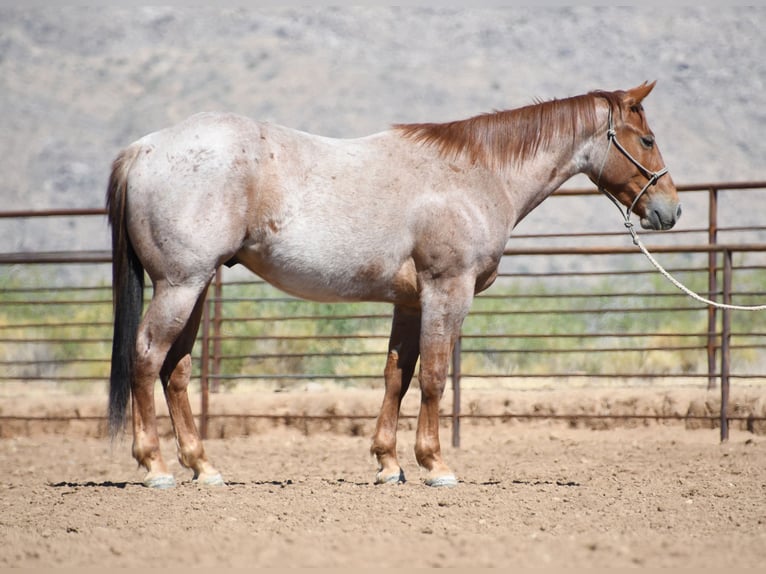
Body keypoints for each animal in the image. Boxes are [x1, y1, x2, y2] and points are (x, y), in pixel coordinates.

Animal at [106, 81, 681, 488]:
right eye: (647, 139)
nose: (670, 210)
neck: (476, 174)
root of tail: (144, 150)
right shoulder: (448, 291)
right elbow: (434, 378)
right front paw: (436, 465)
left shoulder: (409, 303)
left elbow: (396, 377)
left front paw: (388, 464)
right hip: (180, 285)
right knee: (146, 357)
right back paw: (155, 466)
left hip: (196, 287)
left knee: (176, 370)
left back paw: (203, 467)